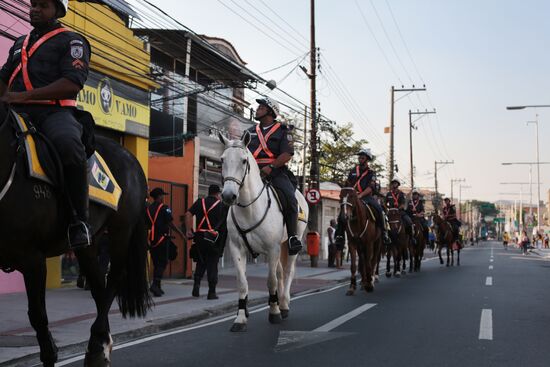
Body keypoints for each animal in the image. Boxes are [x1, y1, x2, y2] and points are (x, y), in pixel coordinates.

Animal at [0, 103, 151, 367]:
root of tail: (130, 156)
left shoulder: (32, 260)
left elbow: (39, 319)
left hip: (122, 230)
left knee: (113, 280)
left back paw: (97, 346)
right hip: (89, 244)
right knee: (99, 285)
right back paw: (100, 345)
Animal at [218, 131, 310, 332]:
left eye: (244, 160)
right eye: (222, 159)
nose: (228, 196)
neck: (249, 208)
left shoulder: (272, 248)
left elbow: (271, 281)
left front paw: (274, 312)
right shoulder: (237, 248)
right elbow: (242, 283)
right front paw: (240, 318)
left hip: (291, 242)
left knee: (287, 272)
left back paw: (284, 305)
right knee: (280, 272)